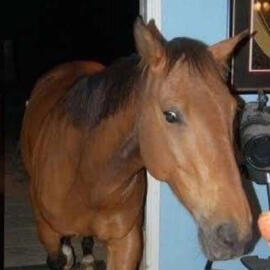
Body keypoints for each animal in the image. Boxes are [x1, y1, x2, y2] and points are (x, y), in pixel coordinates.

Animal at [21, 17, 253, 268]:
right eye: (170, 115)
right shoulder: (48, 236)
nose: (236, 236)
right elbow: (60, 256)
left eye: (235, 109)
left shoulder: (126, 243)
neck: (86, 176)